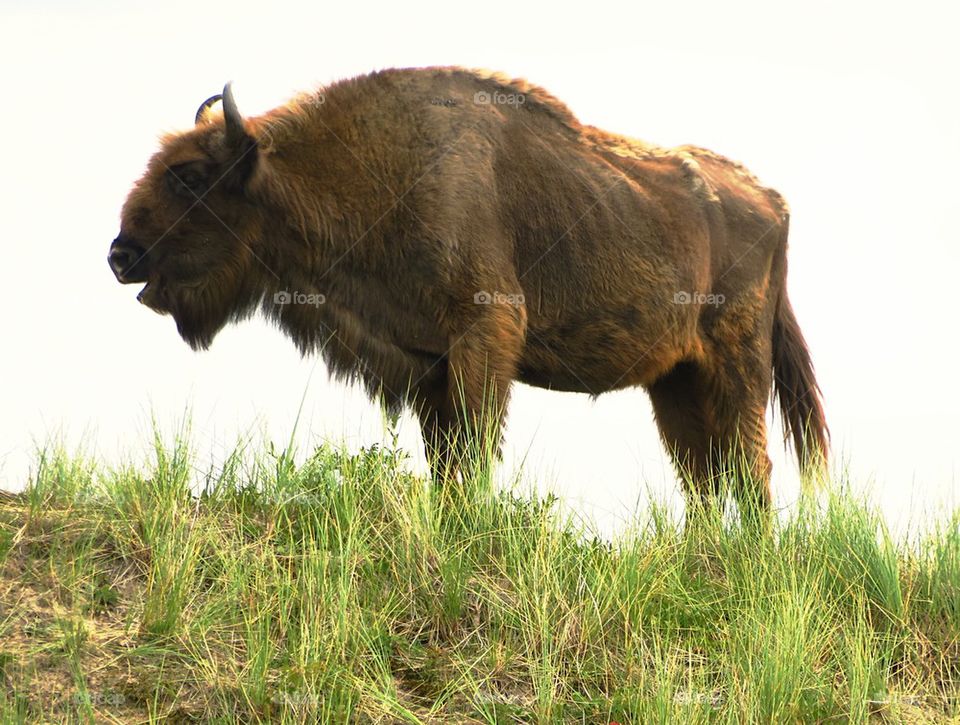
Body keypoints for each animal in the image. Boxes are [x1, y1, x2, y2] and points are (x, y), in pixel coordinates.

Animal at [107, 65, 824, 512]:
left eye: (190, 175)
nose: (120, 255)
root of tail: (772, 200)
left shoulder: (484, 334)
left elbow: (474, 451)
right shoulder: (429, 363)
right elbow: (444, 460)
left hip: (737, 366)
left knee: (749, 470)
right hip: (674, 380)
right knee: (704, 477)